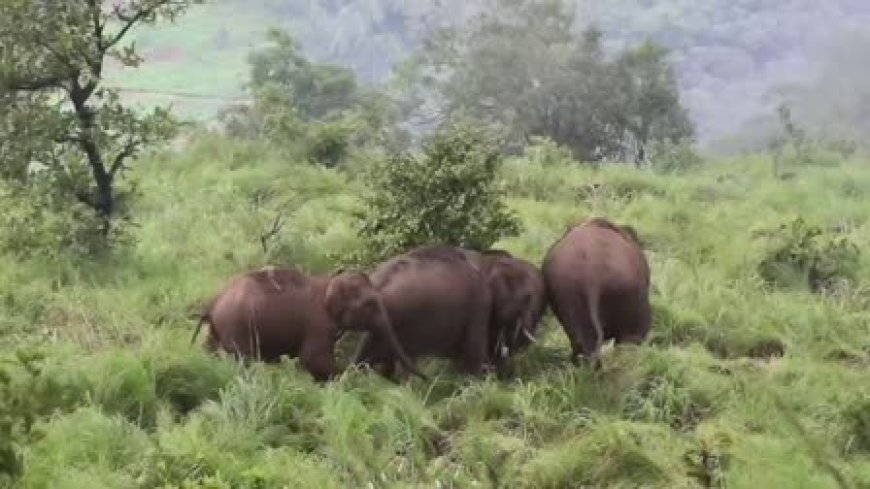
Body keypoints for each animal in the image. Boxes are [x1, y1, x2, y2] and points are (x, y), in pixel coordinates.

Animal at [191, 264, 426, 382]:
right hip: (236, 327)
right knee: (243, 360)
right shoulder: (318, 324)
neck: (330, 281)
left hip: (218, 330)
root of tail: (213, 303)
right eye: (370, 305)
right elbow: (313, 359)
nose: (425, 379)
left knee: (210, 350)